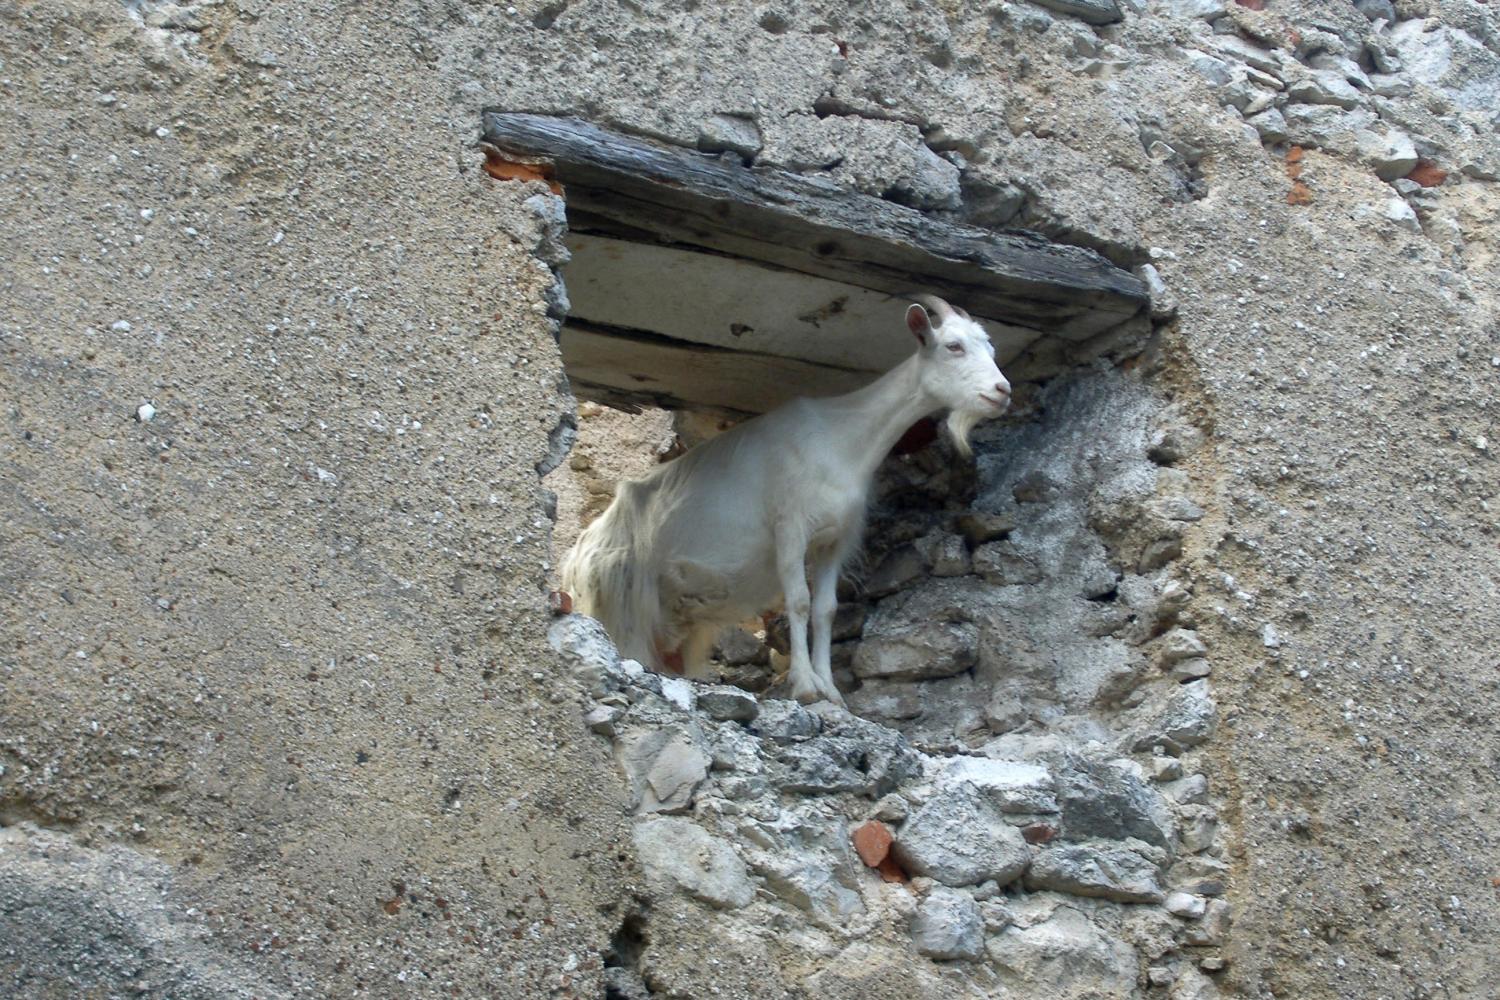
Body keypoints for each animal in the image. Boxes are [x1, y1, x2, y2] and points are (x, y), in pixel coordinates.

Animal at [560, 294, 1012, 706]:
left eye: (992, 349)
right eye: (953, 346)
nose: (1002, 390)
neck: (839, 440)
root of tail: (577, 555)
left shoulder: (835, 539)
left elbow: (826, 608)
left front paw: (832, 690)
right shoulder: (791, 527)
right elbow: (798, 601)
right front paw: (806, 686)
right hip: (620, 605)